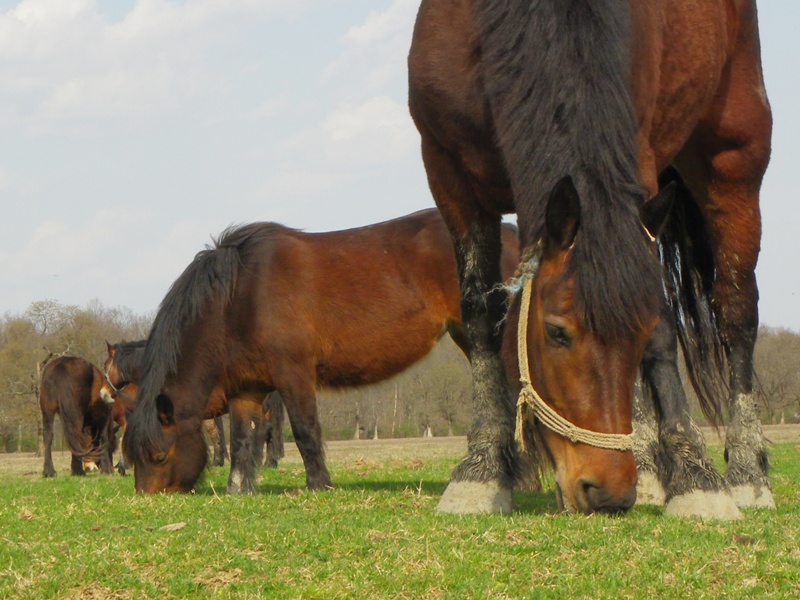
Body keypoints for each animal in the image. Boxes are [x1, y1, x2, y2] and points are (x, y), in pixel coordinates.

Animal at [119, 209, 520, 494]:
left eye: (159, 455)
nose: (147, 497)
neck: (239, 296)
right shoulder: (246, 390)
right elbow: (243, 439)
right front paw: (239, 489)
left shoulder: (293, 375)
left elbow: (305, 430)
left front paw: (319, 484)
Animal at [410, 0, 772, 516]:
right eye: (556, 333)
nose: (608, 490)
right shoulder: (449, 174)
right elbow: (481, 318)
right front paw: (482, 469)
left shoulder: (637, 160)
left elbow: (664, 332)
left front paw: (694, 475)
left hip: (735, 162)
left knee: (737, 317)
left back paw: (746, 472)